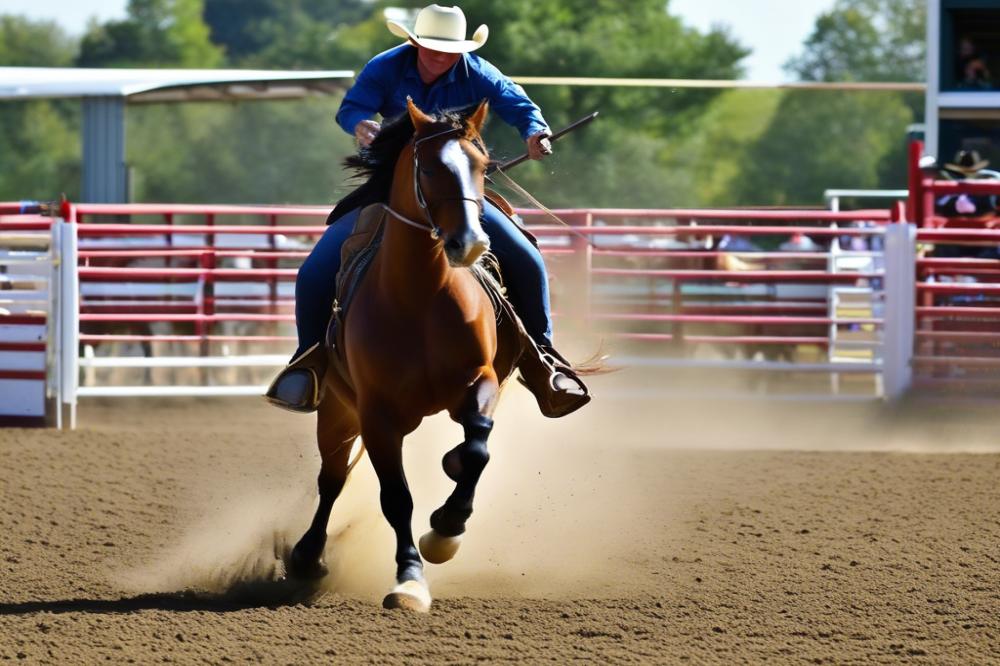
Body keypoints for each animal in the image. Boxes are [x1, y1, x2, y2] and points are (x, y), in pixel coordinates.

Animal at [286, 100, 524, 612]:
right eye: (430, 169)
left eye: (482, 166)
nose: (469, 243)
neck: (420, 299)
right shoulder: (378, 414)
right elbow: (396, 497)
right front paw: (410, 579)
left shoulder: (480, 382)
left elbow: (477, 448)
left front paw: (446, 530)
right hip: (336, 409)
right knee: (331, 479)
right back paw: (308, 555)